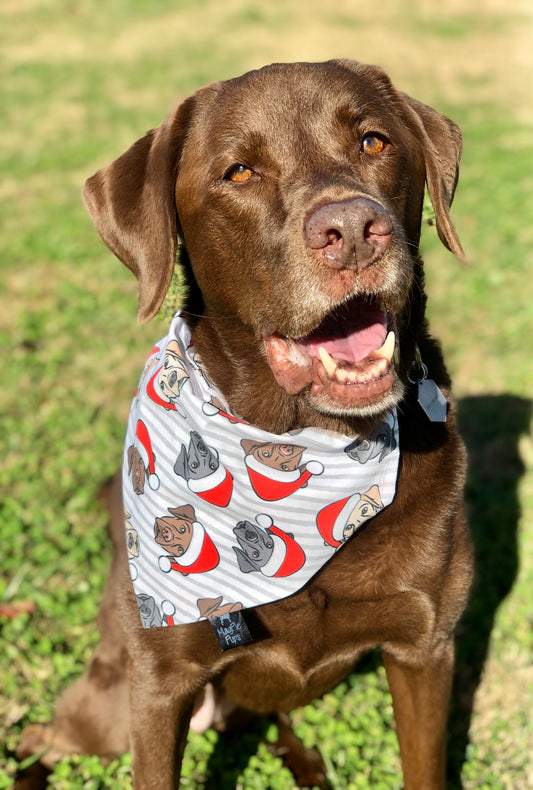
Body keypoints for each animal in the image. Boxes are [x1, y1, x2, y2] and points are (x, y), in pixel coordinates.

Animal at [16, 62, 472, 790]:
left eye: (373, 141)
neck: (308, 438)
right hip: (111, 703)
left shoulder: (424, 646)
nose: (353, 228)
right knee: (47, 734)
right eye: (238, 172)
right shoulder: (159, 683)